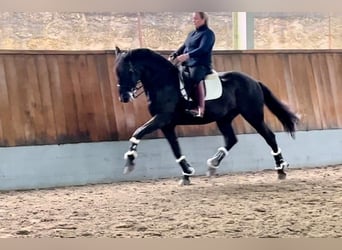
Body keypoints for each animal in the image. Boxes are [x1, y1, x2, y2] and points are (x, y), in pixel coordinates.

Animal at [114, 47, 300, 185]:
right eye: (117, 72)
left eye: (129, 70)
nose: (124, 97)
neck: (163, 82)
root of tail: (254, 81)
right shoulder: (167, 125)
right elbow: (175, 149)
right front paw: (187, 173)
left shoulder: (162, 118)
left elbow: (138, 132)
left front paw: (130, 160)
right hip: (224, 119)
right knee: (231, 139)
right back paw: (213, 164)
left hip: (253, 115)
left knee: (269, 136)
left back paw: (281, 169)